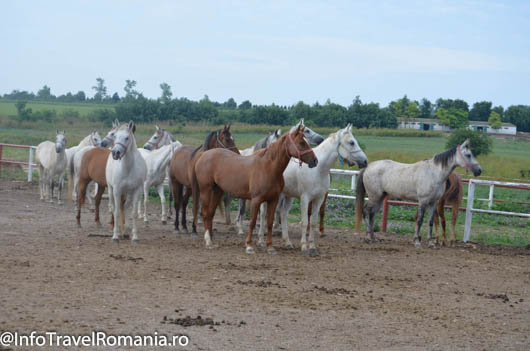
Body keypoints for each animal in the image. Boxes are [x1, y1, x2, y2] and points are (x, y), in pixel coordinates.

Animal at [194, 126, 318, 256]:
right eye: (302, 143)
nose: (315, 161)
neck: (268, 167)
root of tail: (203, 155)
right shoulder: (256, 200)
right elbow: (252, 222)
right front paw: (249, 246)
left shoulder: (273, 200)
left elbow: (269, 223)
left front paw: (270, 247)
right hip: (206, 190)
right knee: (205, 213)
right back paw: (208, 241)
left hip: (217, 191)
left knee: (211, 213)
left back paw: (211, 240)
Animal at [256, 124, 366, 253]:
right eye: (351, 142)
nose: (365, 161)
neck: (319, 169)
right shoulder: (305, 198)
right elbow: (304, 222)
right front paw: (304, 246)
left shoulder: (319, 198)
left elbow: (313, 222)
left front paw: (312, 246)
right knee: (263, 214)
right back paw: (260, 240)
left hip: (287, 196)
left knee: (283, 214)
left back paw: (287, 242)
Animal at [352, 139, 480, 249]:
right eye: (468, 155)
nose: (479, 170)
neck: (434, 173)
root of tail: (368, 167)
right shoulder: (423, 201)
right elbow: (420, 220)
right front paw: (417, 242)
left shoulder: (434, 203)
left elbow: (430, 222)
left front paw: (431, 243)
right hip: (374, 197)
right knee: (365, 211)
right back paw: (368, 237)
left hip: (380, 197)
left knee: (372, 214)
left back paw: (373, 238)